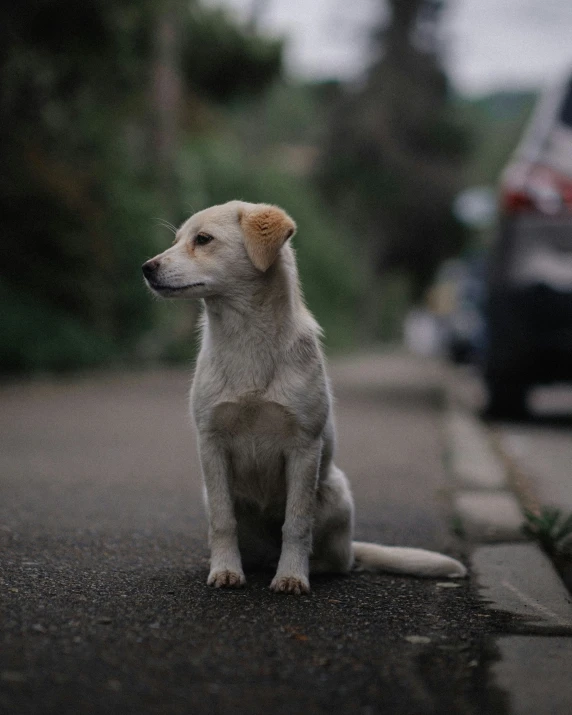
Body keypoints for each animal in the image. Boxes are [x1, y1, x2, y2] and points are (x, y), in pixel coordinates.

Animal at [142, 200, 464, 592]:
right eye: (176, 240)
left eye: (203, 239)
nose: (146, 268)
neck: (247, 339)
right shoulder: (211, 443)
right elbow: (222, 521)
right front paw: (226, 570)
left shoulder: (304, 447)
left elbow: (296, 524)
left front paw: (292, 576)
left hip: (335, 494)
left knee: (337, 560)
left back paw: (308, 566)